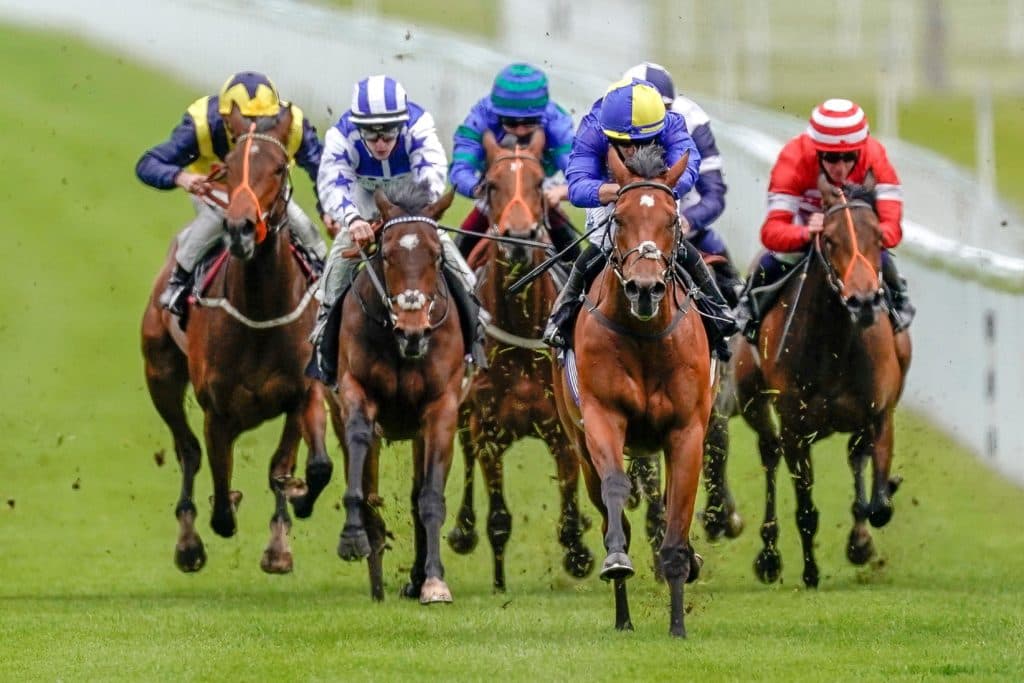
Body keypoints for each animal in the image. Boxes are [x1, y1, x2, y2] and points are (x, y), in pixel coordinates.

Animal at [141, 106, 333, 574]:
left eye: (279, 167)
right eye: (228, 167)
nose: (239, 229)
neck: (261, 313)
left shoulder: (304, 392)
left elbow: (302, 467)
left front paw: (284, 535)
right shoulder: (218, 410)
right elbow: (221, 498)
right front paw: (223, 507)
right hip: (160, 374)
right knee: (188, 450)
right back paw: (188, 542)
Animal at [331, 179, 466, 603]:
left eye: (436, 256)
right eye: (387, 254)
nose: (413, 331)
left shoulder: (442, 409)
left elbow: (429, 496)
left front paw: (434, 581)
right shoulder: (355, 390)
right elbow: (359, 450)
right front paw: (352, 537)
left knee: (418, 492)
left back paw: (418, 575)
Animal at [446, 129, 594, 591]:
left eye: (537, 183)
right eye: (492, 185)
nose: (516, 238)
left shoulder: (560, 431)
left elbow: (569, 505)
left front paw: (579, 551)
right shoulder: (488, 432)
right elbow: (498, 519)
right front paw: (498, 583)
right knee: (465, 455)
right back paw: (462, 530)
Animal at [552, 145, 712, 637]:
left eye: (672, 219)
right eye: (619, 218)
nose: (645, 289)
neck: (644, 336)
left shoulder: (687, 431)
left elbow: (677, 517)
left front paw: (678, 624)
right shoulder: (602, 418)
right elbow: (616, 490)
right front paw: (618, 559)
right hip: (577, 442)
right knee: (607, 500)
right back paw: (622, 616)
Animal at [732, 173, 912, 588]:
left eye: (879, 237)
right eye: (829, 239)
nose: (863, 301)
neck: (834, 347)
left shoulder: (879, 415)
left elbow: (878, 505)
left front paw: (872, 517)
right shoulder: (795, 429)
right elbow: (805, 509)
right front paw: (810, 572)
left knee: (854, 458)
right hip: (753, 402)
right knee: (769, 453)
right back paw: (769, 556)